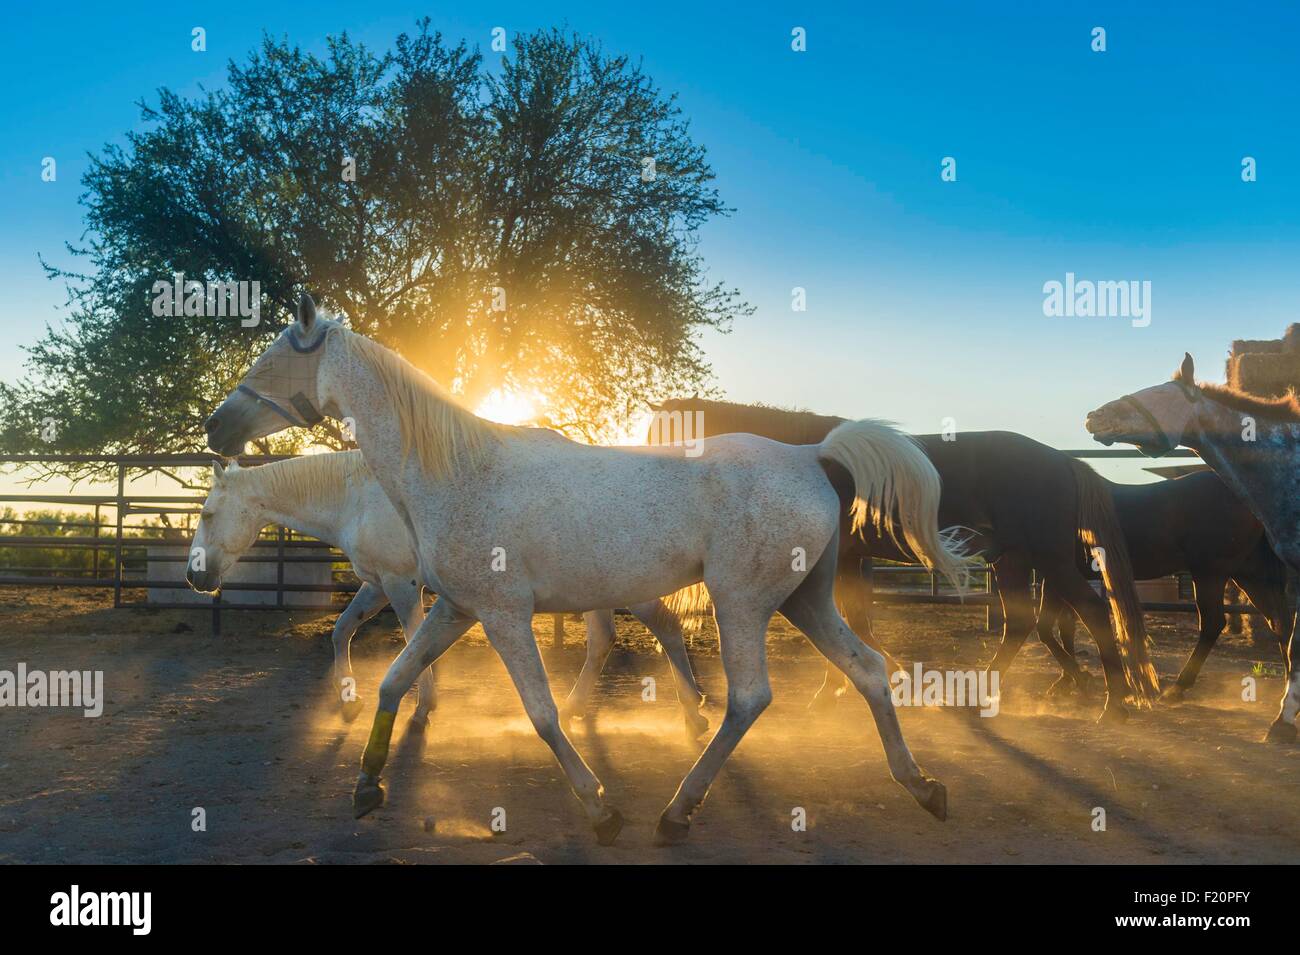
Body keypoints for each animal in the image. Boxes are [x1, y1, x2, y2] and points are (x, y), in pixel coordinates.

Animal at [184, 452, 712, 738]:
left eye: (207, 514)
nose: (194, 577)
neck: (357, 497)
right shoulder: (376, 583)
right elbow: (342, 631)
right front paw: (350, 701)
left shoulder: (400, 583)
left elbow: (412, 640)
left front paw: (422, 708)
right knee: (604, 639)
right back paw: (575, 708)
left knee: (665, 627)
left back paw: (694, 714)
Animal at [650, 400, 1159, 722]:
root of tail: (1063, 461)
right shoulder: (848, 563)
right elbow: (856, 623)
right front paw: (873, 678)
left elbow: (849, 625)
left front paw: (842, 689)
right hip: (1013, 562)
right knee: (1020, 623)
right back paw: (983, 695)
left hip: (1046, 560)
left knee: (1091, 612)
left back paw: (1114, 704)